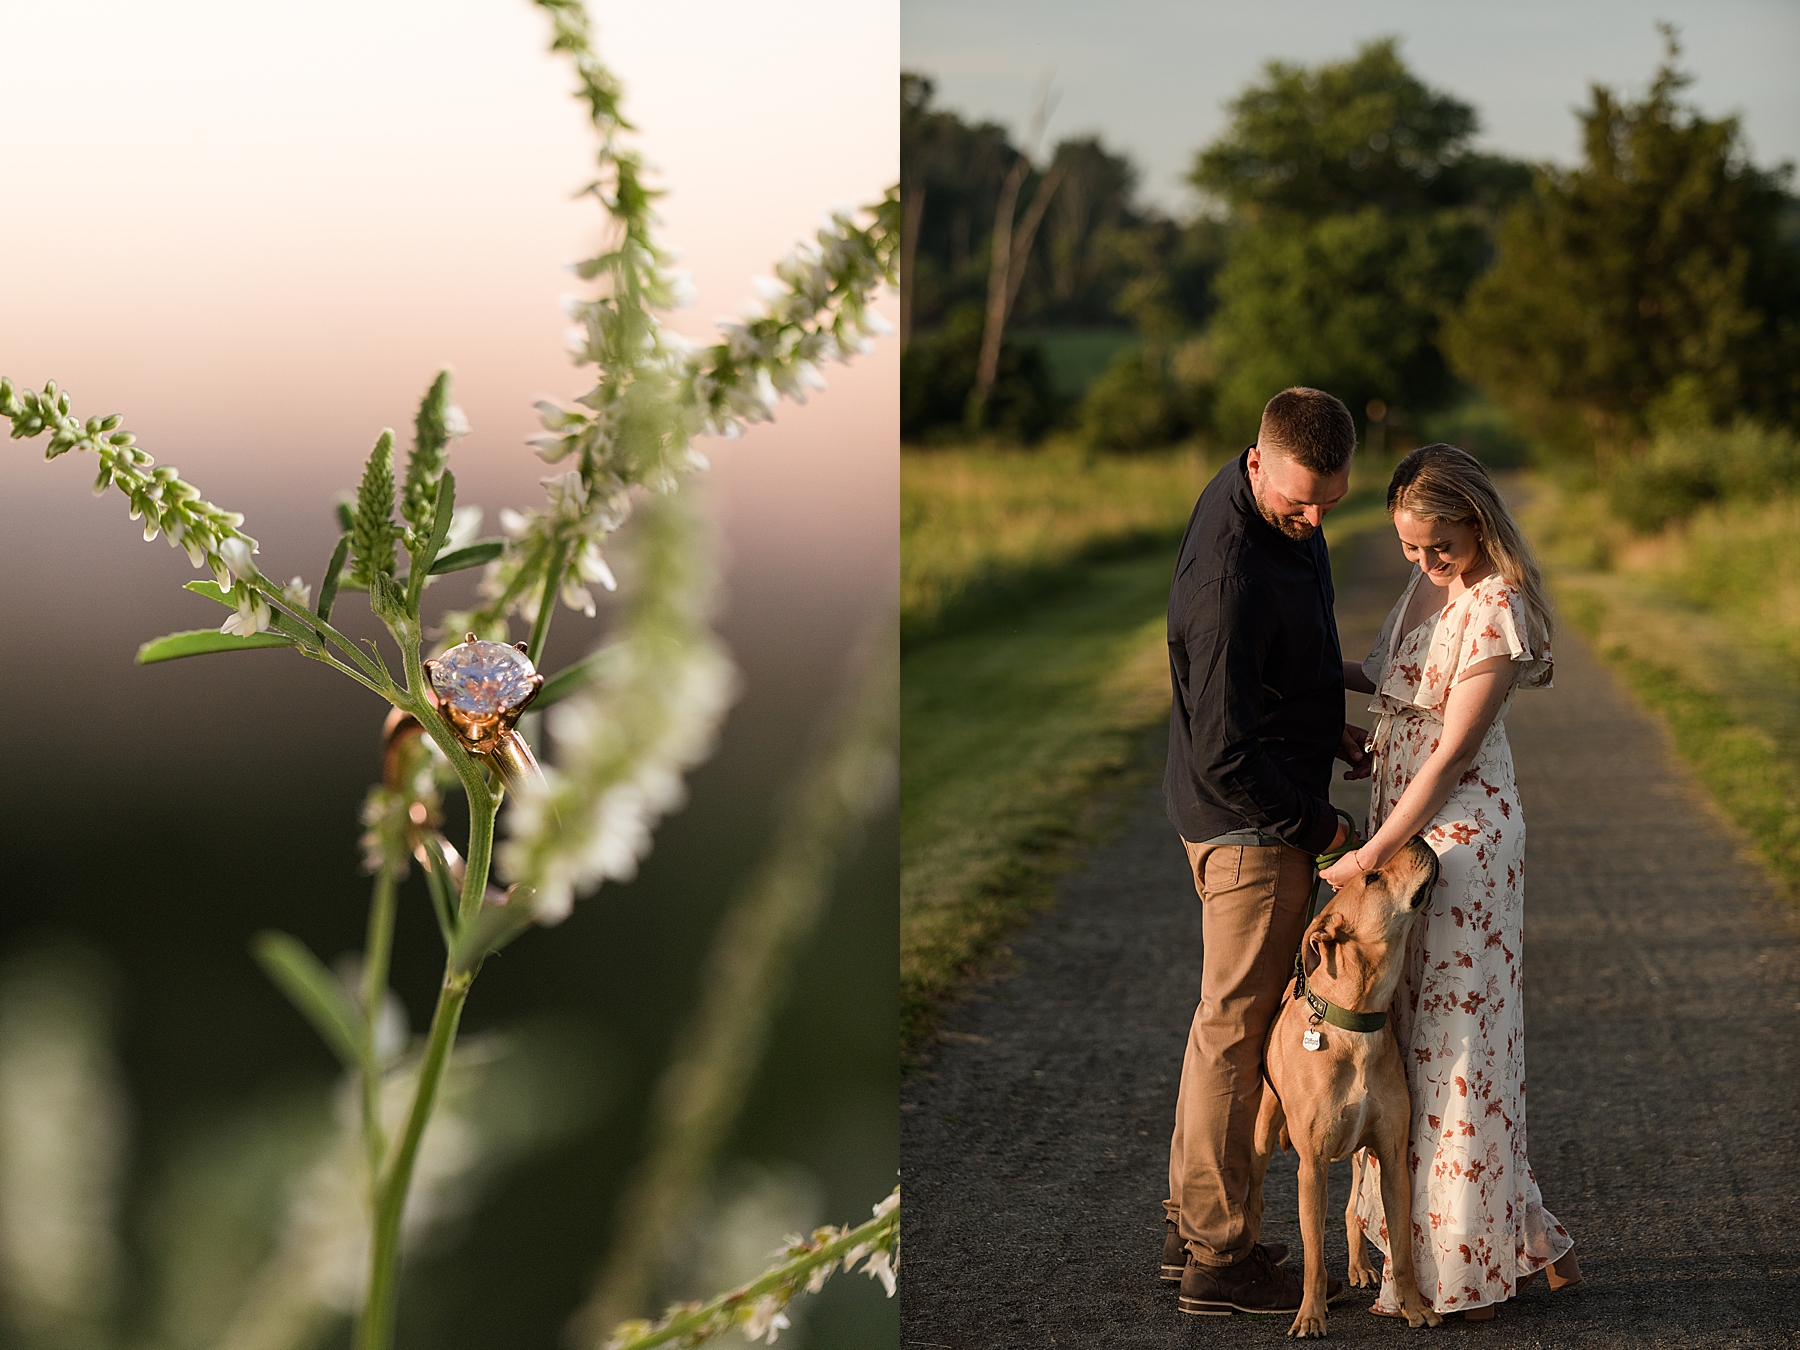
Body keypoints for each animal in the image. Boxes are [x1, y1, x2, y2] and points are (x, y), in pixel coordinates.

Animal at [1252, 842, 1447, 1339]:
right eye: (1372, 876)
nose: (1415, 839)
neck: (1356, 1020)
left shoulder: (1393, 1155)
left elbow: (1401, 1246)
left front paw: (1413, 1307)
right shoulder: (1312, 1166)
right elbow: (1314, 1256)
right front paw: (1310, 1315)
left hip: (1364, 1155)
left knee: (1353, 1209)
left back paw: (1360, 1266)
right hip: (1263, 1133)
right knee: (1253, 1189)